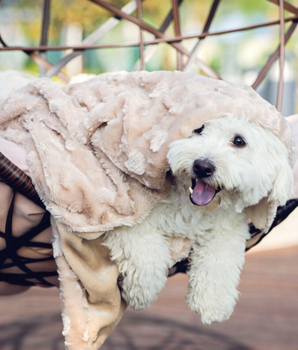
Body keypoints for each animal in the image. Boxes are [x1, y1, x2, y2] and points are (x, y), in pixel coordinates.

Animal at [105, 113, 294, 324]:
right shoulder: (131, 214)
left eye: (239, 141)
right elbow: (146, 254)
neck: (193, 208)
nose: (202, 167)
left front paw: (212, 302)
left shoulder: (228, 226)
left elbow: (221, 258)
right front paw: (142, 294)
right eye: (199, 128)